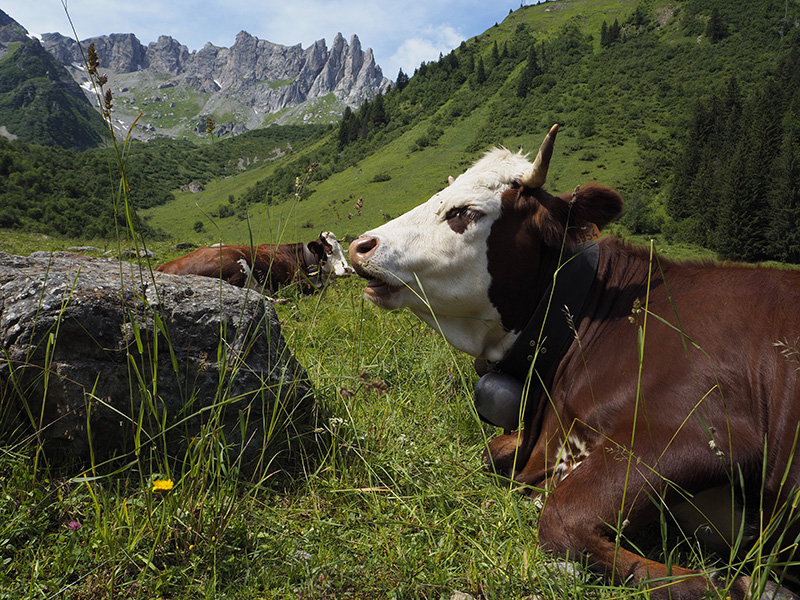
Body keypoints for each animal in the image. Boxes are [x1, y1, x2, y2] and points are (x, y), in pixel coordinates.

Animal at [158, 231, 352, 294]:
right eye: (330, 251)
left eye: (344, 251)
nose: (349, 269)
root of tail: (163, 266)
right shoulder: (294, 281)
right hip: (237, 264)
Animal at [354, 123, 800, 600]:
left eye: (464, 212)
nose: (361, 245)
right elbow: (494, 454)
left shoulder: (697, 429)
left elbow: (560, 519)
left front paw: (744, 587)